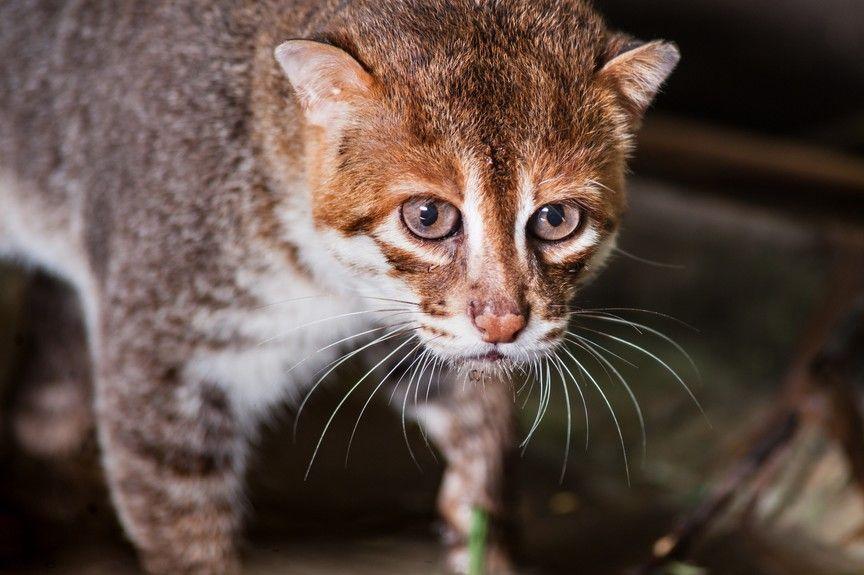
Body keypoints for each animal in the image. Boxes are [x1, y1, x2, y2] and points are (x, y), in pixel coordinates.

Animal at [0, 2, 676, 572]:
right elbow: (187, 534)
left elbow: (473, 413)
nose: (504, 323)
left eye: (557, 219)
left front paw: (480, 525)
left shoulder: (411, 320)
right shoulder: (161, 366)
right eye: (427, 216)